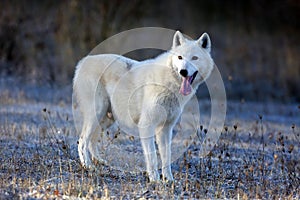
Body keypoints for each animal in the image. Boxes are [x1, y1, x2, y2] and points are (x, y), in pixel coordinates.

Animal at [72, 30, 213, 182]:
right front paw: (155, 180)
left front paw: (169, 180)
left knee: (91, 140)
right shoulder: (146, 125)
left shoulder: (166, 129)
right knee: (82, 141)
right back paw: (88, 166)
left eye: (194, 58)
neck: (169, 83)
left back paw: (99, 161)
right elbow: (152, 157)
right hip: (97, 114)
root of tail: (83, 61)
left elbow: (166, 156)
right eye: (180, 57)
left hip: (107, 119)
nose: (183, 71)